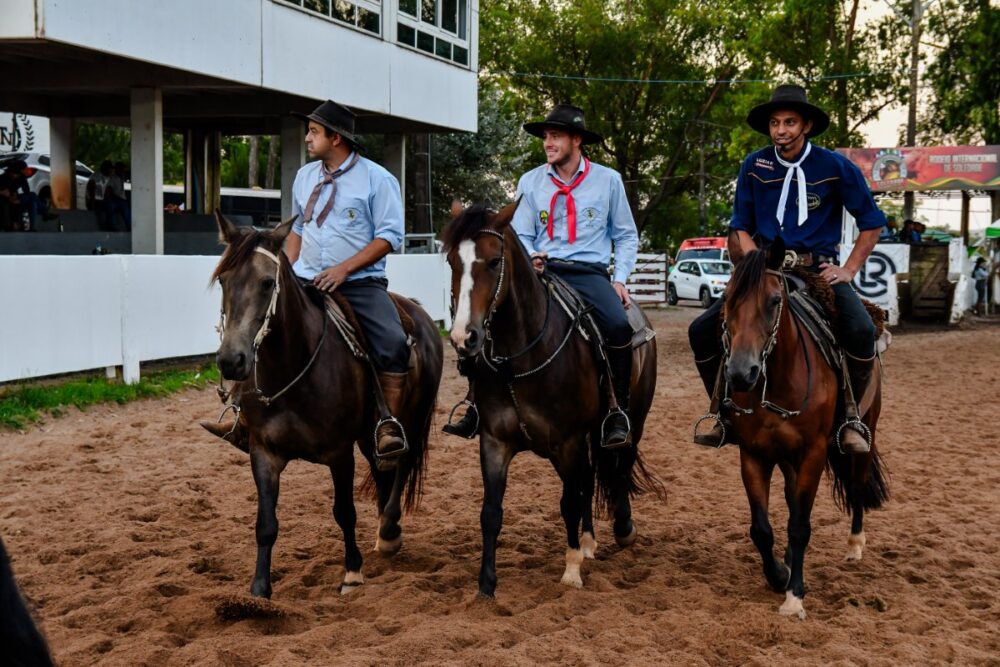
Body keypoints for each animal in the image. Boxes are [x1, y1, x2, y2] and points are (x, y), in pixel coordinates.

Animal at [205, 211, 443, 598]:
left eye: (267, 282)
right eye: (224, 280)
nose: (231, 360)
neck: (293, 367)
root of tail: (419, 312)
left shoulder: (339, 453)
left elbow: (344, 511)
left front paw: (352, 573)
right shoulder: (263, 452)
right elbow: (265, 522)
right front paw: (259, 591)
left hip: (413, 418)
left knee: (402, 464)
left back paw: (389, 531)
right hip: (369, 434)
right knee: (383, 466)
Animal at [443, 202, 663, 597]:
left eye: (494, 261)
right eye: (453, 261)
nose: (464, 337)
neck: (521, 356)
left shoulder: (567, 443)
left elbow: (568, 503)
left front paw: (571, 569)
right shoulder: (494, 442)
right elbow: (491, 512)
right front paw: (486, 584)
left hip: (633, 420)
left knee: (619, 465)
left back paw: (622, 529)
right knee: (592, 476)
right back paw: (589, 541)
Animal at [720, 236, 889, 619]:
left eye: (774, 301)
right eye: (728, 298)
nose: (741, 373)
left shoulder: (813, 452)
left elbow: (799, 526)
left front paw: (794, 595)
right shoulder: (753, 455)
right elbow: (762, 528)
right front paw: (779, 574)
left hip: (865, 433)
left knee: (857, 484)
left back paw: (855, 544)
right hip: (786, 456)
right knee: (792, 496)